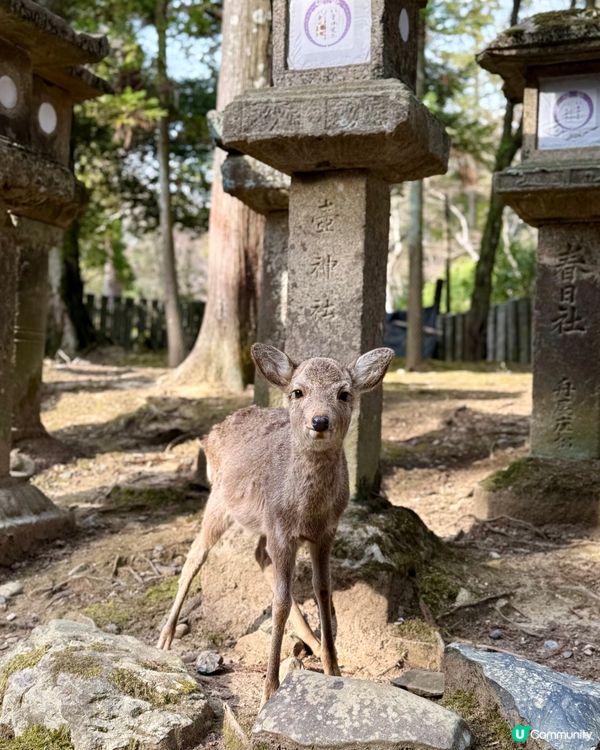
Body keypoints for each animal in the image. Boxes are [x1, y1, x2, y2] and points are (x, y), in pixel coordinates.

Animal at [157, 343, 394, 705]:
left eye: (344, 393)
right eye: (298, 391)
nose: (319, 420)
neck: (307, 511)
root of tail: (209, 436)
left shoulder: (325, 532)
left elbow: (323, 591)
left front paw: (333, 668)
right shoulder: (282, 530)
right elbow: (278, 603)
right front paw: (269, 690)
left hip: (262, 522)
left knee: (259, 556)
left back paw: (312, 642)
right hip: (219, 501)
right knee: (196, 555)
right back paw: (165, 637)